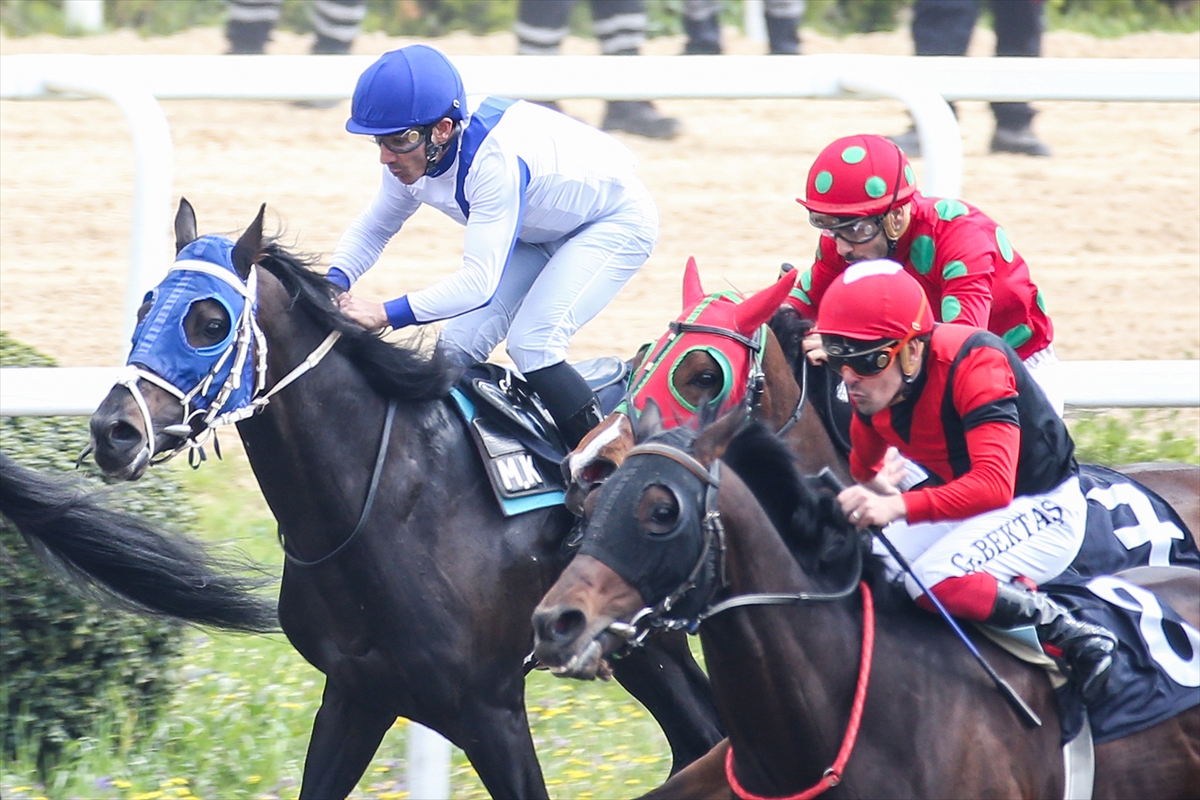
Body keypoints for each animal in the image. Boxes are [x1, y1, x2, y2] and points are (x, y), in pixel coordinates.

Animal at [88, 201, 720, 800]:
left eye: (211, 322)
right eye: (145, 308)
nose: (112, 431)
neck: (384, 502)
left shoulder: (490, 709)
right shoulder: (356, 696)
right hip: (644, 649)